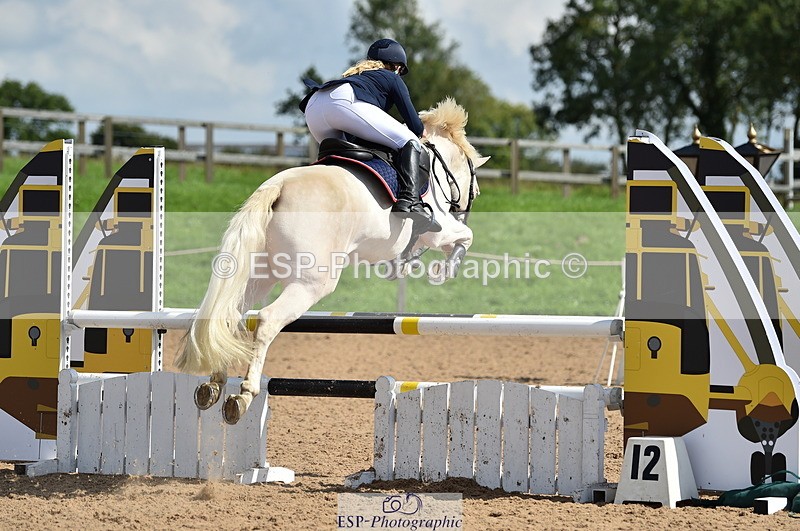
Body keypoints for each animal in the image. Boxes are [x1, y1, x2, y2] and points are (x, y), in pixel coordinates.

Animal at [175, 97, 489, 423]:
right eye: (473, 183)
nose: (464, 205)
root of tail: (277, 187)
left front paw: (409, 264)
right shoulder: (438, 230)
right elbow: (465, 237)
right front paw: (442, 271)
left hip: (259, 276)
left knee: (229, 315)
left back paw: (214, 384)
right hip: (313, 282)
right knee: (268, 319)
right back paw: (243, 394)